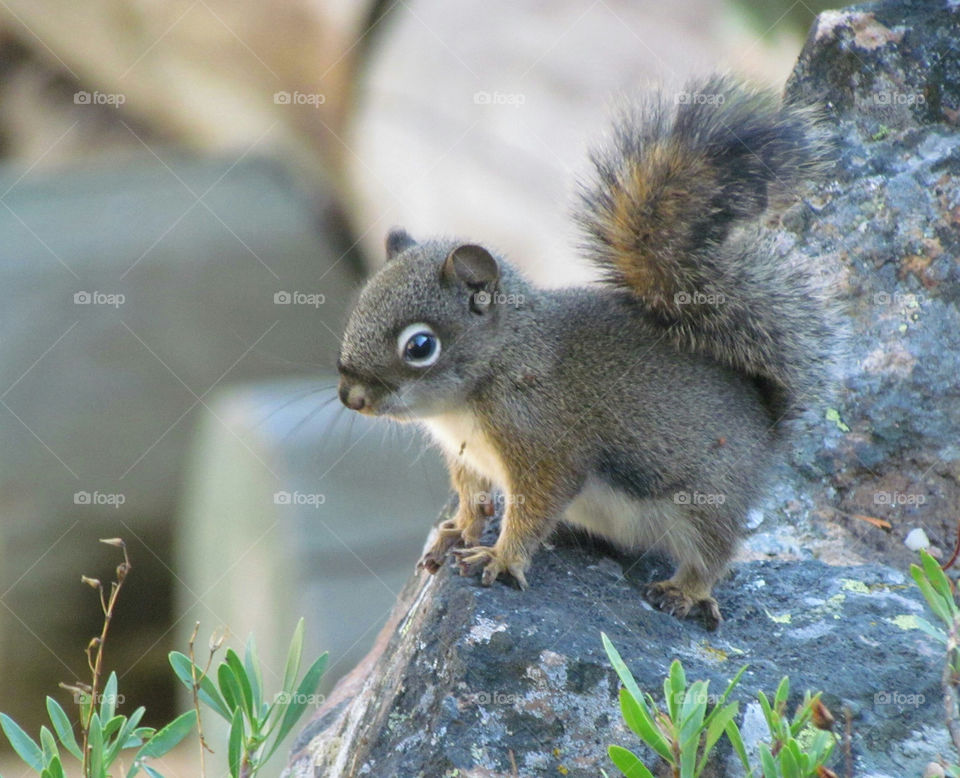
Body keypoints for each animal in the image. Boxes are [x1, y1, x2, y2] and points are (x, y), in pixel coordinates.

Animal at [337, 74, 835, 629]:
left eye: (420, 345)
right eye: (360, 303)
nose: (350, 397)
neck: (493, 371)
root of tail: (767, 424)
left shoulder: (544, 440)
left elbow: (537, 504)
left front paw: (501, 557)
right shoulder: (467, 457)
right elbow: (473, 498)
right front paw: (459, 531)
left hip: (708, 497)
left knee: (714, 552)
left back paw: (685, 592)